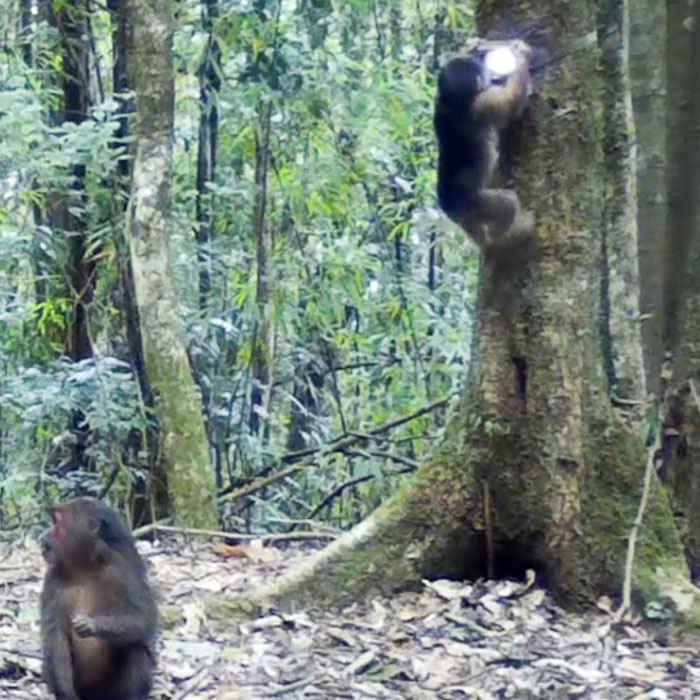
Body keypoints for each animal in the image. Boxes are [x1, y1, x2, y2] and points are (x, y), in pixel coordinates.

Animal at [41, 498, 159, 700]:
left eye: (57, 522)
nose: (43, 536)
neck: (85, 567)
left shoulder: (122, 570)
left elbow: (143, 619)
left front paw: (93, 625)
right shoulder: (53, 577)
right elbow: (55, 633)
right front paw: (65, 692)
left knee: (136, 648)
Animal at [432, 39, 536, 250]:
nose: (490, 74)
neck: (451, 106)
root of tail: (449, 208)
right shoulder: (483, 105)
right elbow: (511, 104)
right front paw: (520, 54)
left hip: (468, 217)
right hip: (477, 206)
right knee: (509, 204)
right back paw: (510, 236)